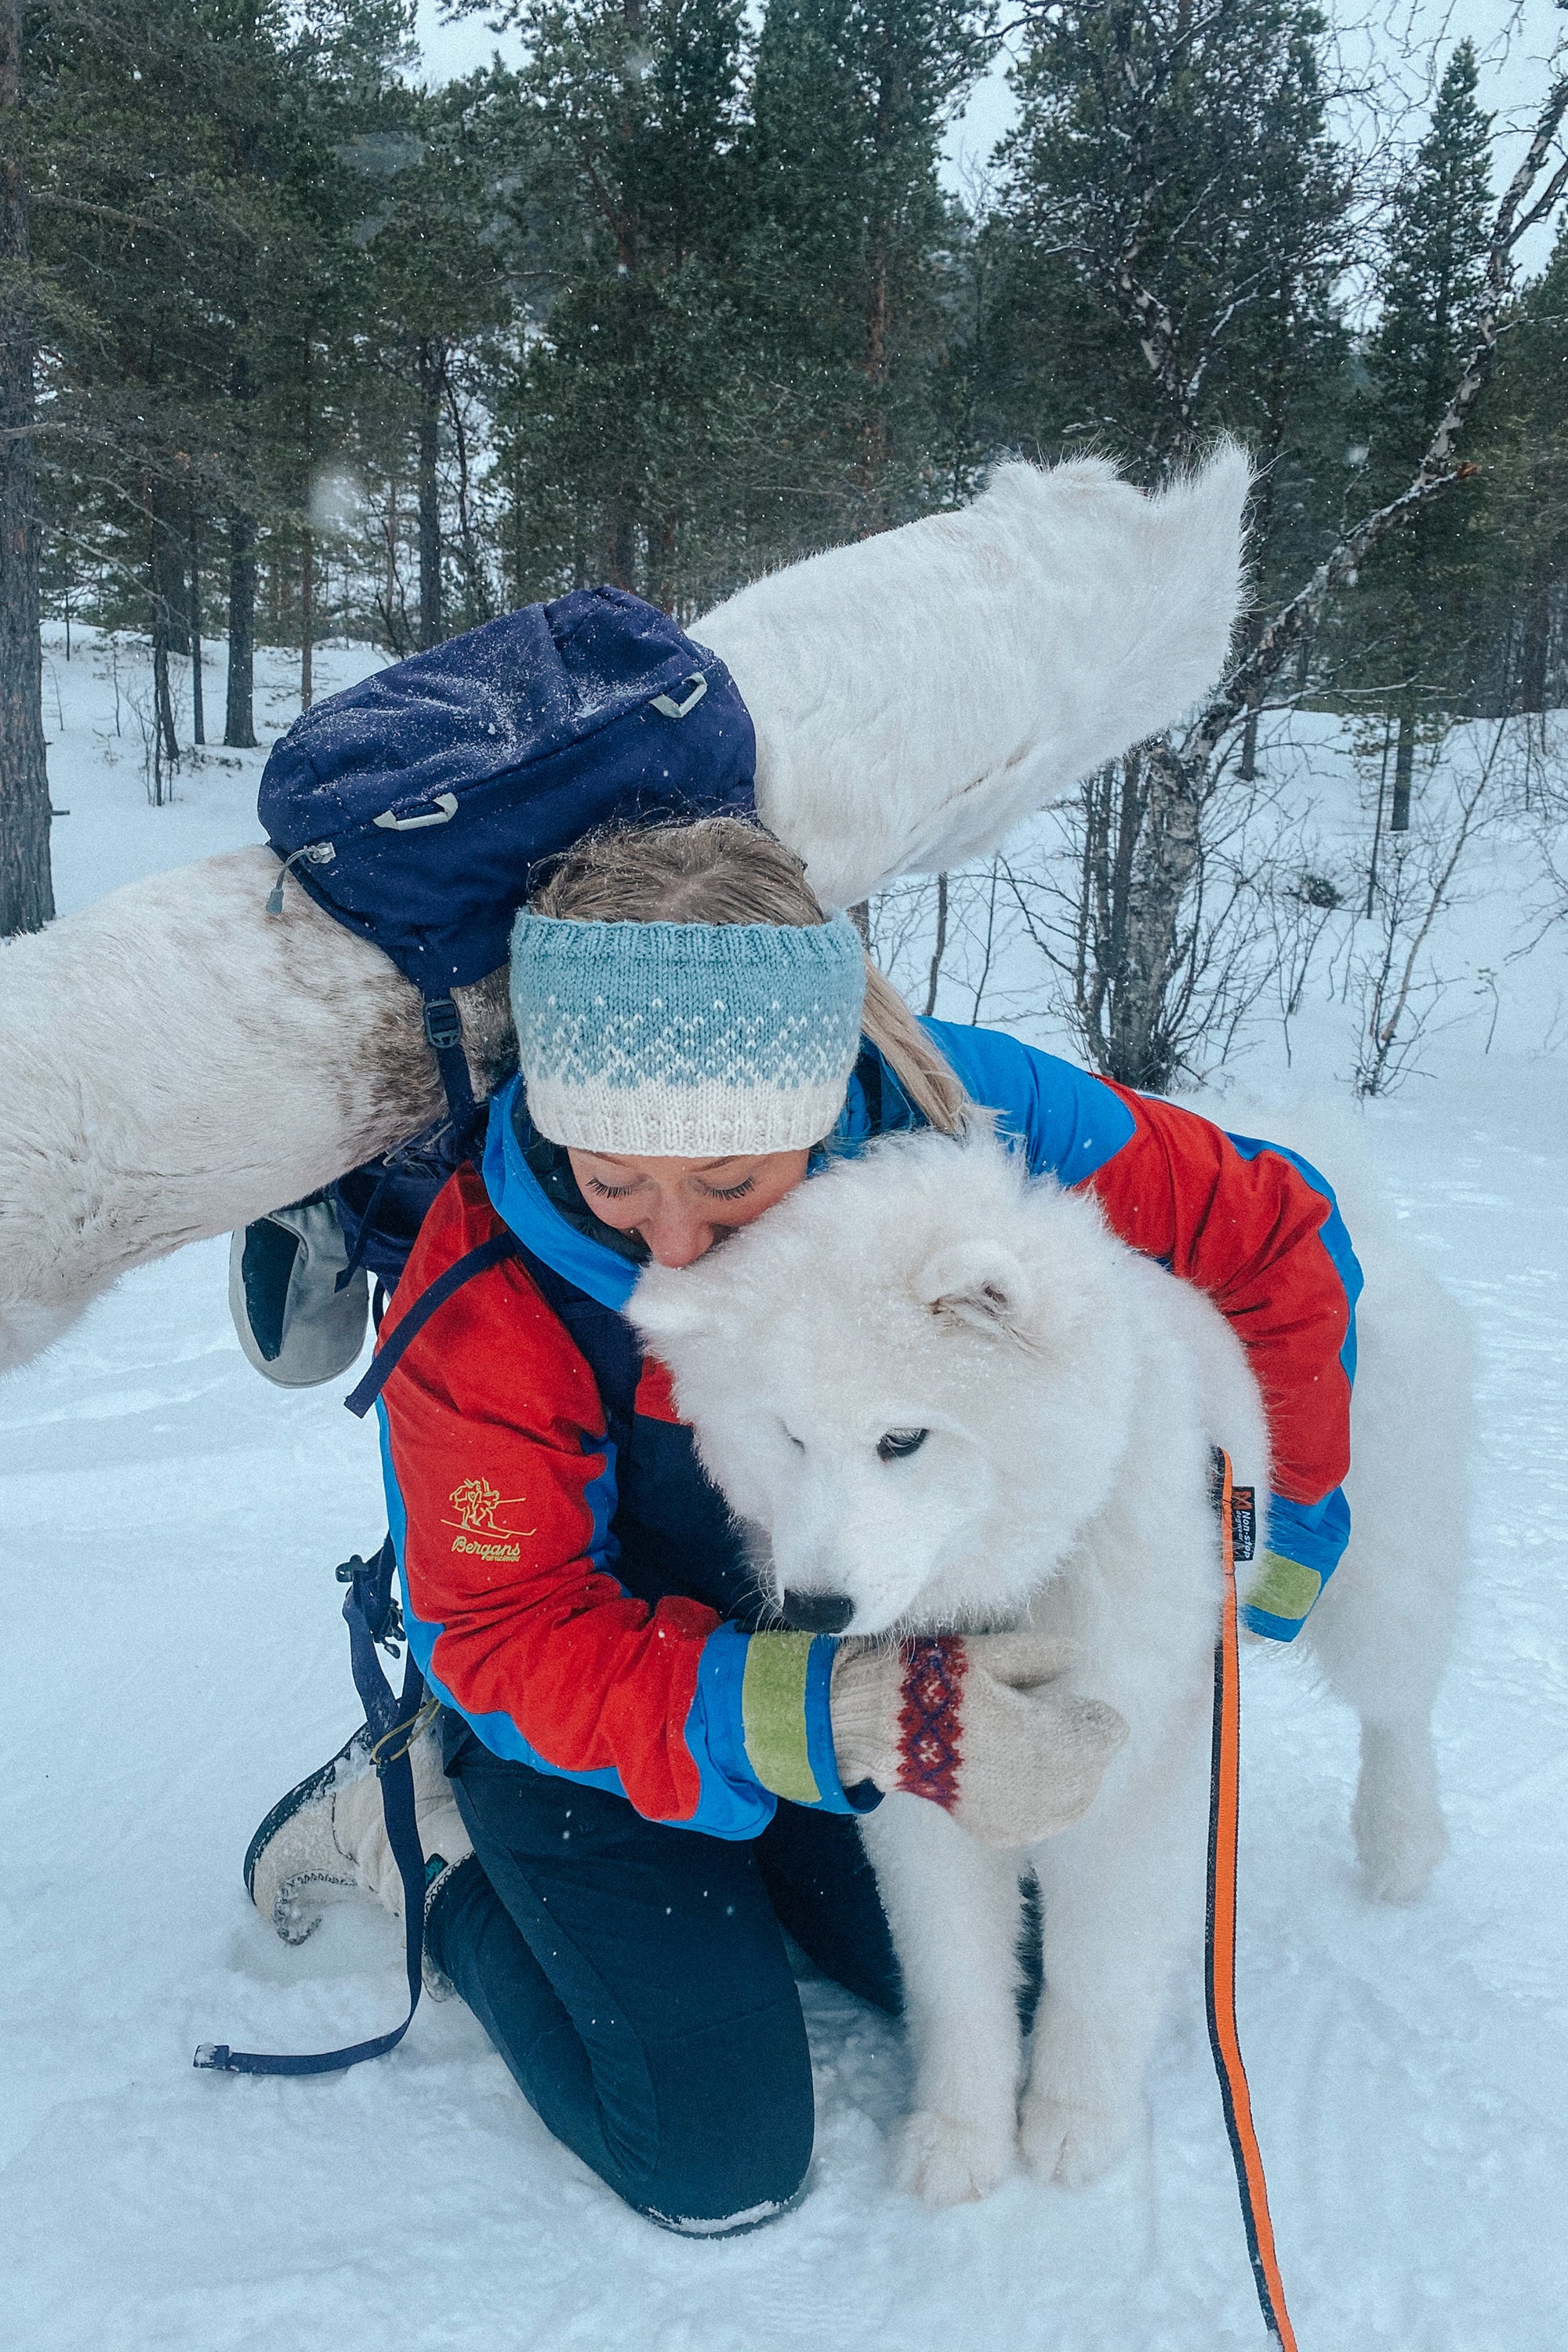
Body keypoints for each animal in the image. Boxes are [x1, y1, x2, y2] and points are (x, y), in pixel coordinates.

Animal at [630, 1120, 1476, 2201]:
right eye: (786, 1437)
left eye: (901, 1438)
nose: (816, 1610)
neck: (1018, 1582)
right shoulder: (921, 1782)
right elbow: (954, 1978)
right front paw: (960, 2139)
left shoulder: (1139, 1777)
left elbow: (1097, 1972)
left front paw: (1076, 2127)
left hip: (1375, 1572)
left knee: (1396, 1706)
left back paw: (1398, 1844)